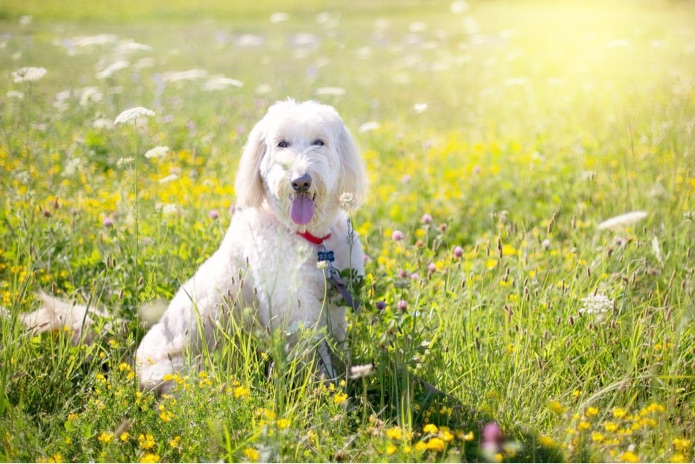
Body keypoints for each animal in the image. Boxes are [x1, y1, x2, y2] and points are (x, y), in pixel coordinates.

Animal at [17, 99, 370, 394]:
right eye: (281, 144)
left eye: (319, 142)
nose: (300, 181)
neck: (308, 238)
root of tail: (131, 358)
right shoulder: (298, 312)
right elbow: (316, 360)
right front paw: (328, 395)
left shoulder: (333, 305)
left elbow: (338, 346)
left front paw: (346, 379)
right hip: (189, 374)